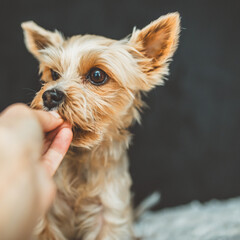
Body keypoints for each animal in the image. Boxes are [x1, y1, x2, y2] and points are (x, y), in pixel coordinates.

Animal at [21, 12, 180, 240]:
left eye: (97, 75)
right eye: (54, 74)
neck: (82, 157)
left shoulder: (109, 212)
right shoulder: (44, 214)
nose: (50, 95)